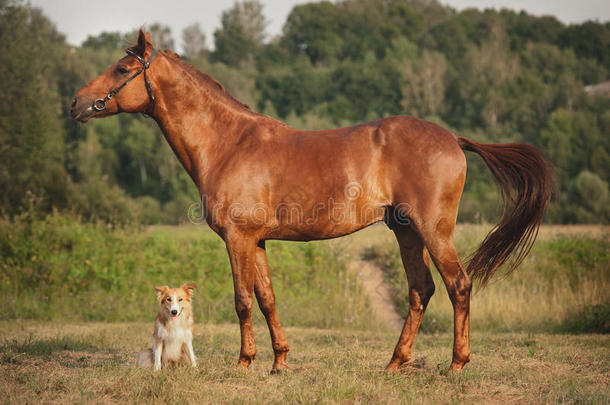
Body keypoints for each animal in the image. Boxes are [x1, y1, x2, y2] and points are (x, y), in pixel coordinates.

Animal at [71, 30, 552, 372]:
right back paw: (394, 364)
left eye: (121, 68)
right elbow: (267, 297)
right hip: (406, 232)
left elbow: (242, 299)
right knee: (422, 290)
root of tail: (452, 138)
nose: (76, 102)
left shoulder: (237, 238)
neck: (229, 143)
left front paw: (244, 363)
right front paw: (279, 361)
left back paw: (455, 365)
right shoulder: (257, 241)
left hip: (434, 231)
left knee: (458, 286)